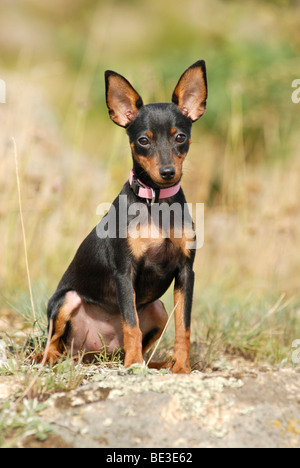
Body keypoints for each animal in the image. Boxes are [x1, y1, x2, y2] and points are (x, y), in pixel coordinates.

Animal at [38, 60, 207, 372]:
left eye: (180, 137)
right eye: (143, 141)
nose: (167, 172)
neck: (157, 204)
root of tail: (93, 354)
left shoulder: (185, 272)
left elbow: (184, 325)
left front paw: (182, 367)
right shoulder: (124, 271)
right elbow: (131, 323)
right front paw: (134, 365)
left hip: (157, 309)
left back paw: (158, 363)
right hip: (66, 299)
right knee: (53, 342)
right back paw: (47, 358)